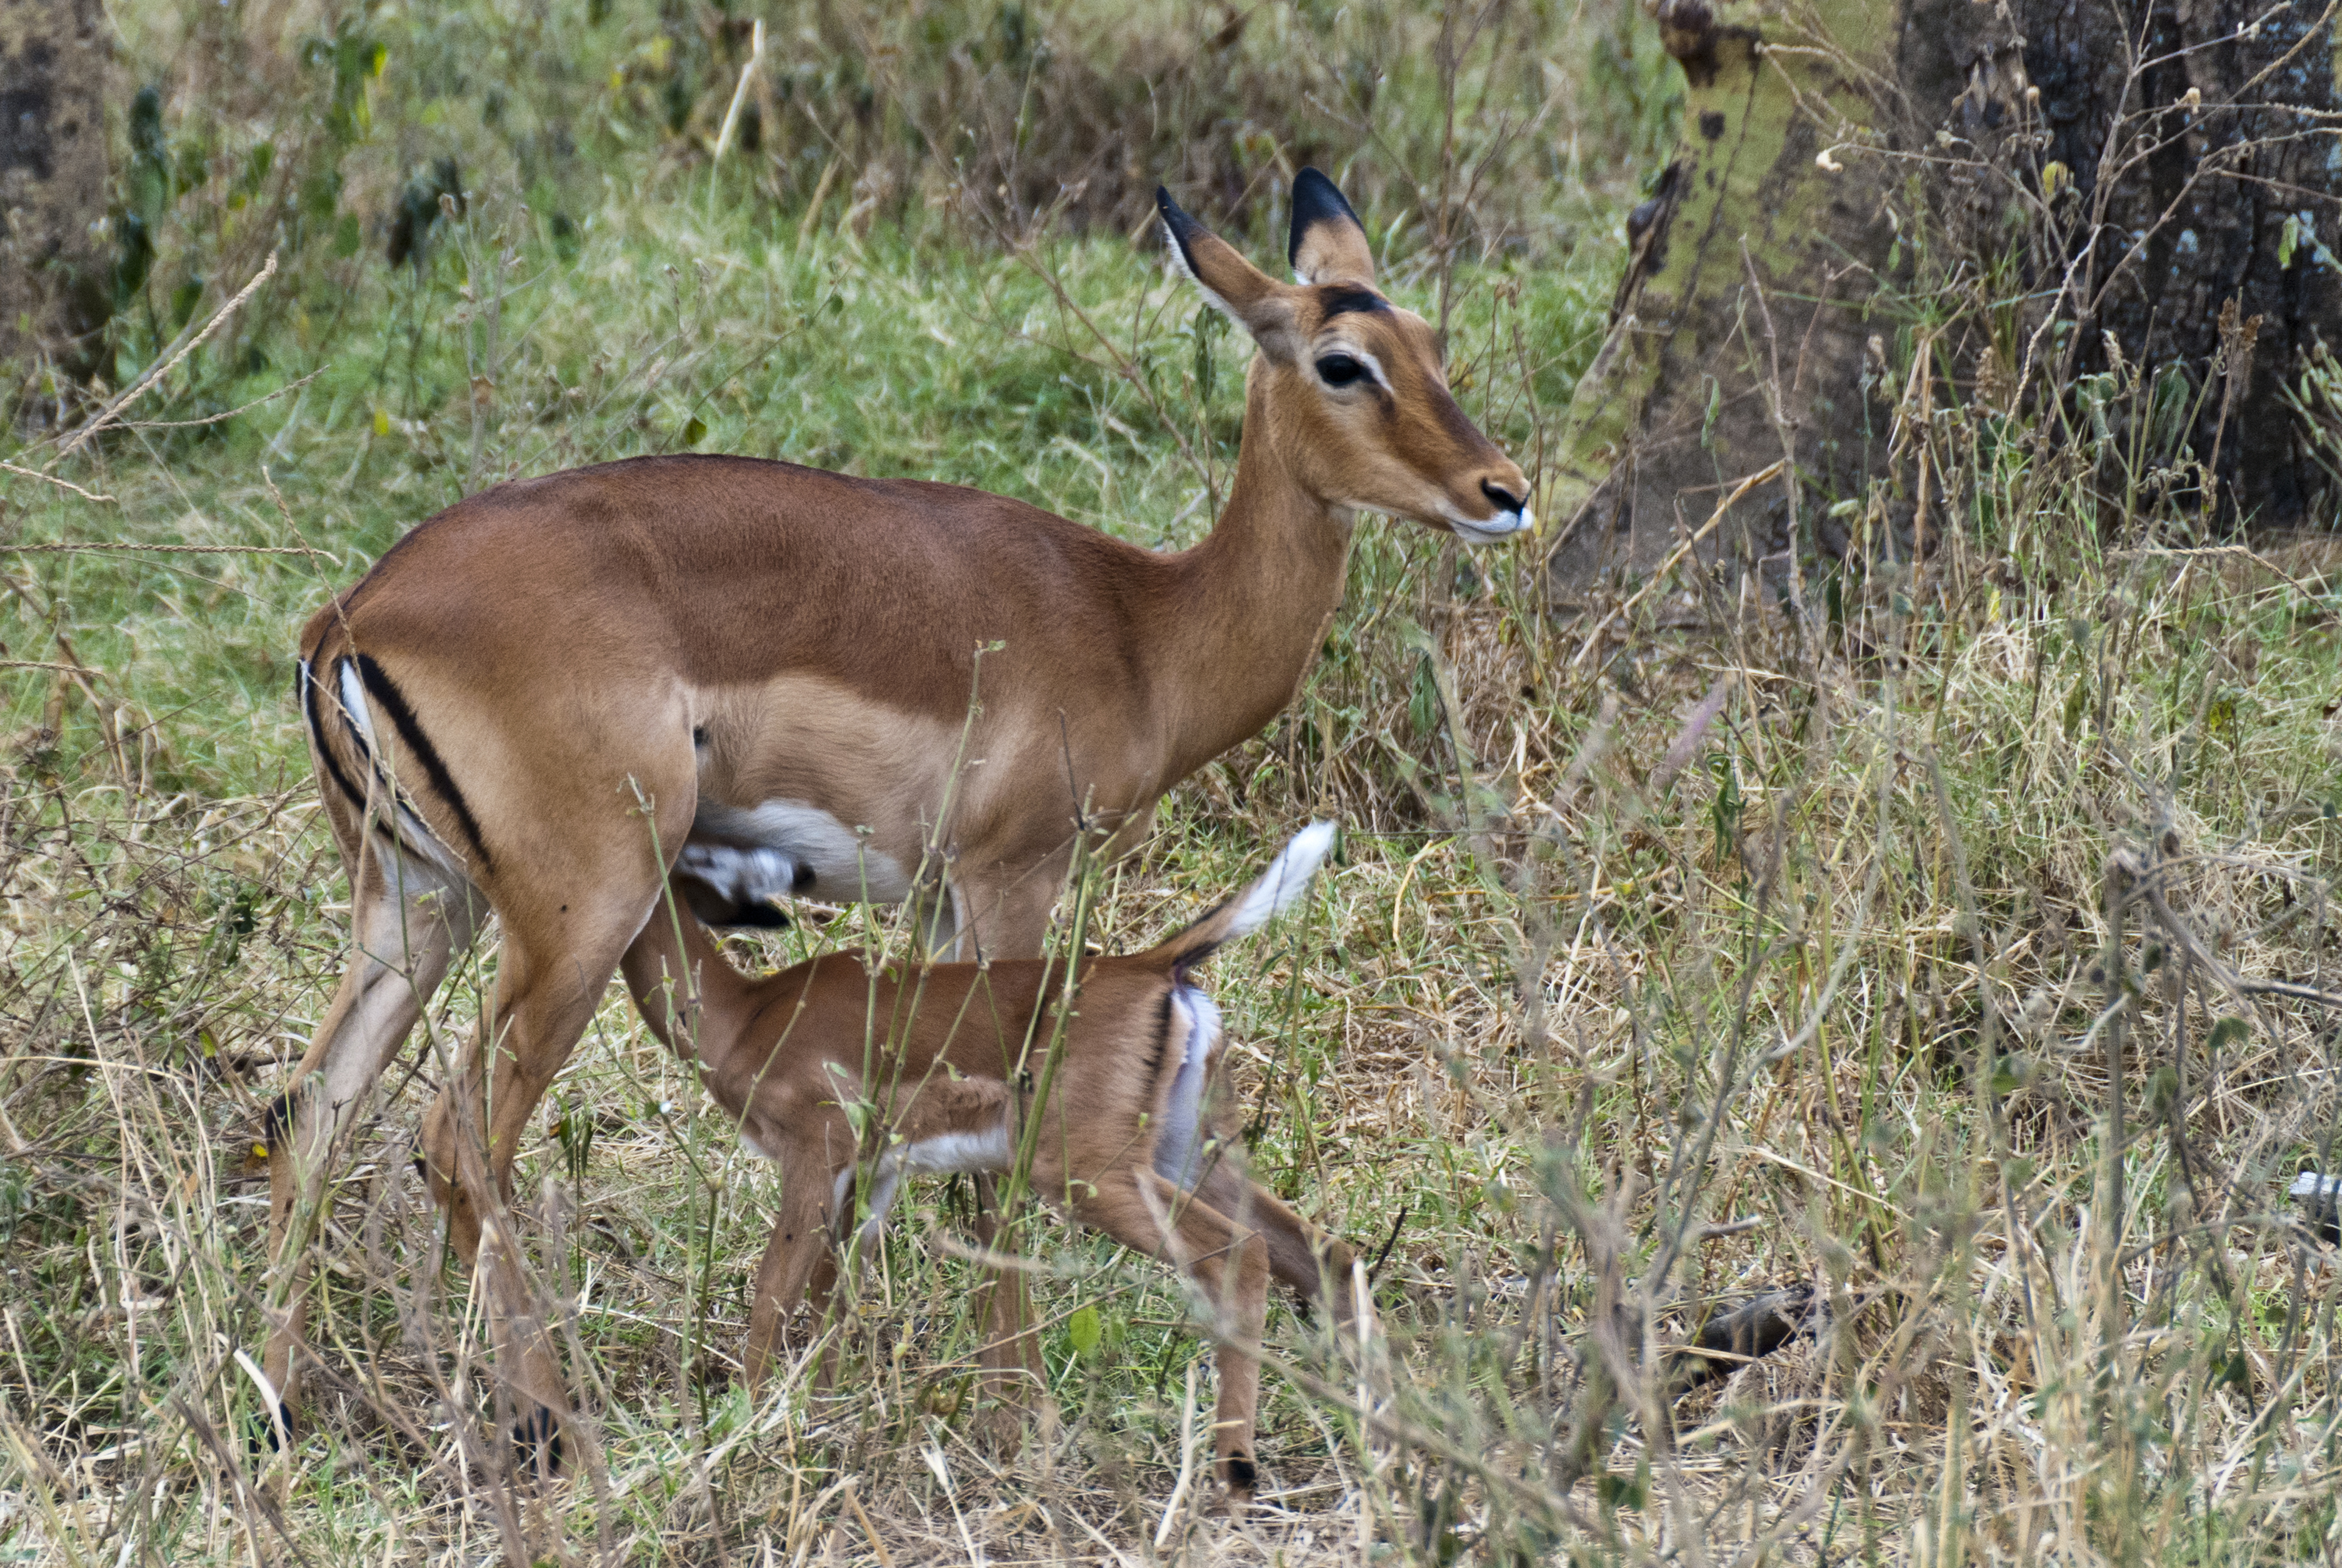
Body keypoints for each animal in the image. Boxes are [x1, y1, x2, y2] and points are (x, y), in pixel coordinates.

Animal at [622, 822, 1362, 1502]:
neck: (744, 1017)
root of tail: (1156, 967)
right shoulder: (873, 1174)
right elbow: (835, 1297)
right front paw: (821, 1428)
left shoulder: (812, 1155)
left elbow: (772, 1294)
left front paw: (742, 1443)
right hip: (1190, 1153)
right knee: (1322, 1250)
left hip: (1090, 1174)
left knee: (1237, 1253)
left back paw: (1233, 1474)